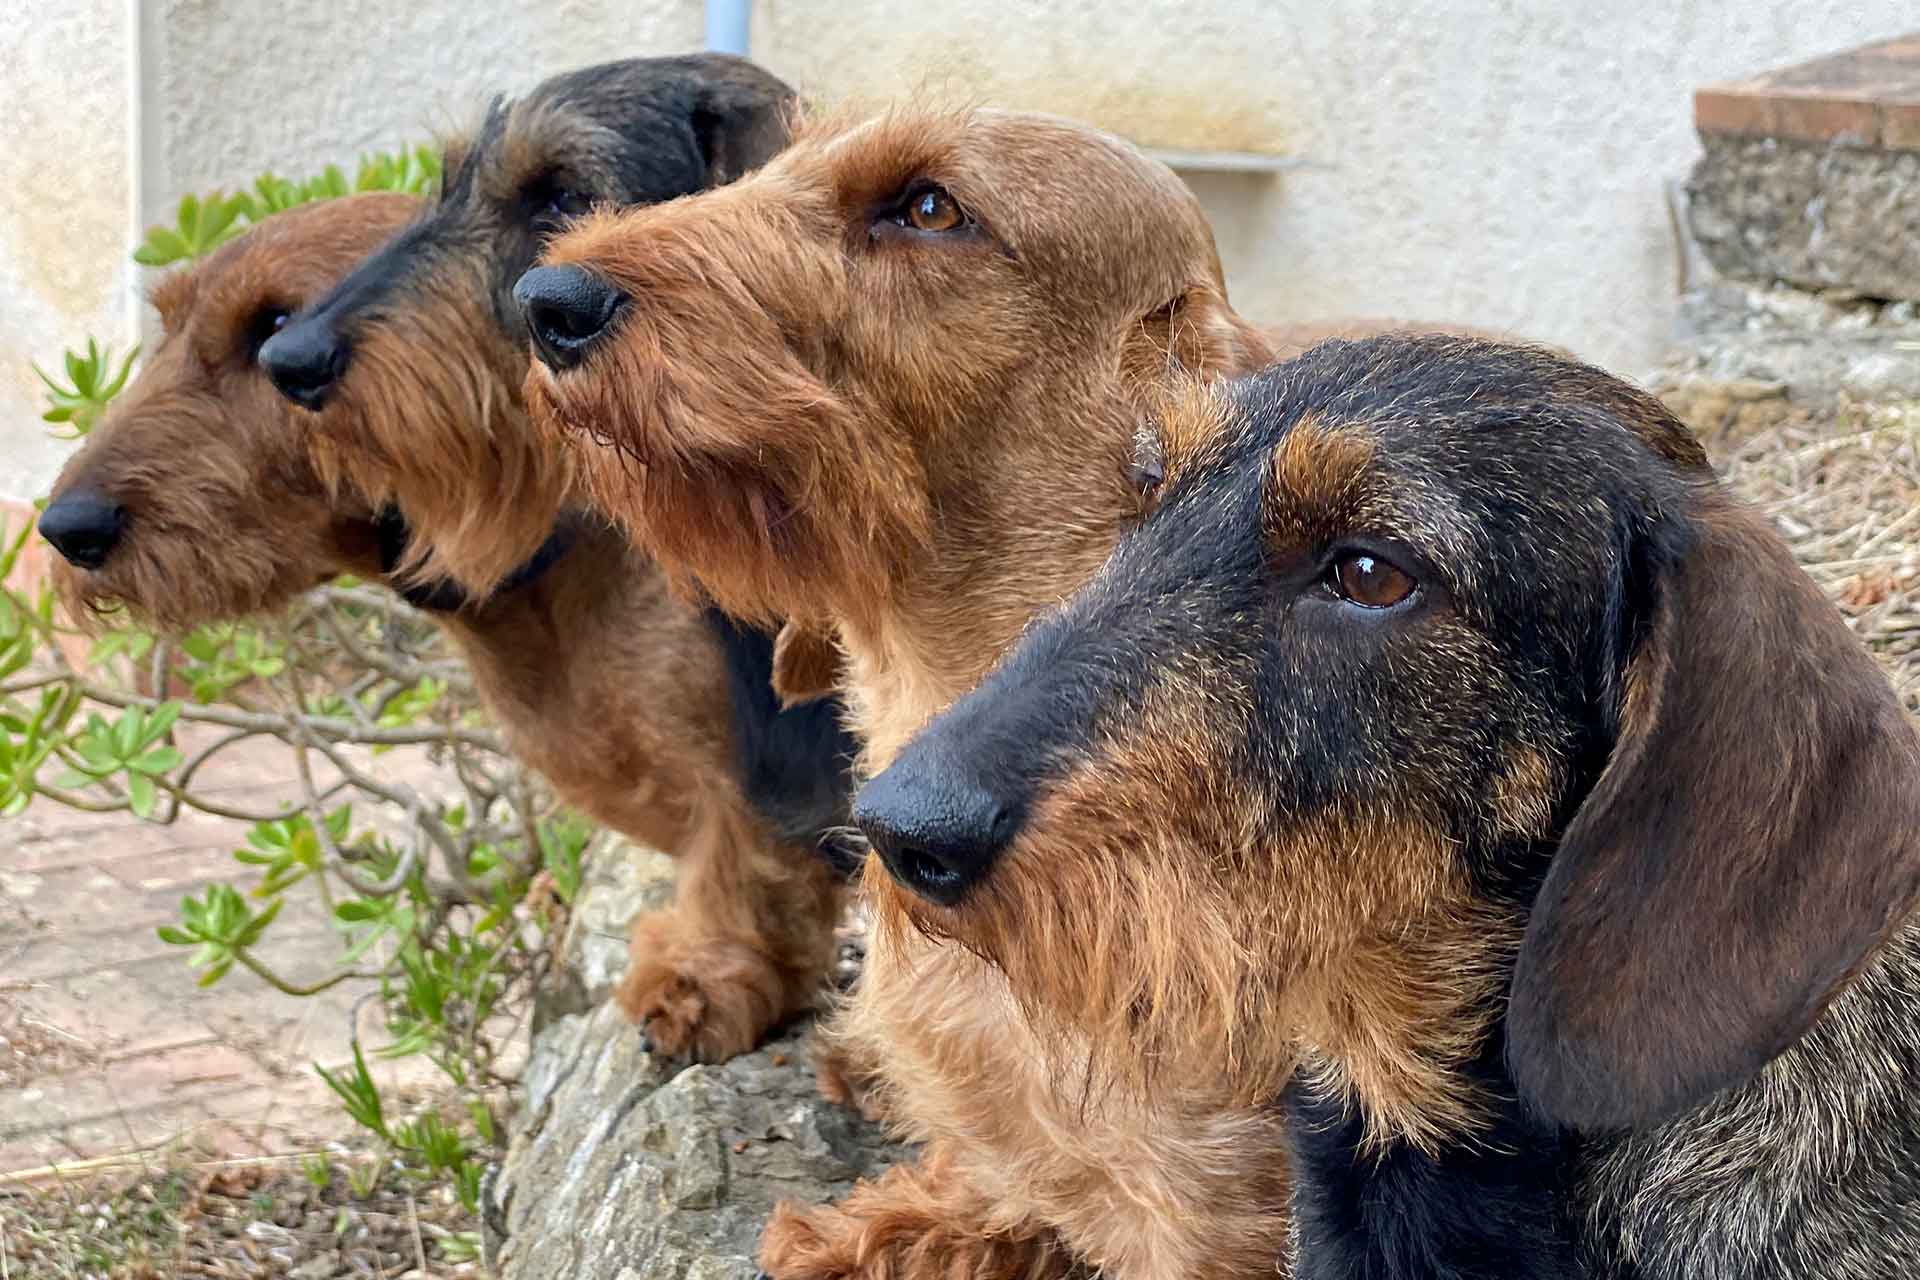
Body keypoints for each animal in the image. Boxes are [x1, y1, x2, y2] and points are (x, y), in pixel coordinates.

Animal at [35, 195, 848, 1066]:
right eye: (168, 321)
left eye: (271, 327)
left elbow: (744, 868)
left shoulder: (751, 779)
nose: (66, 529)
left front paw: (702, 979)